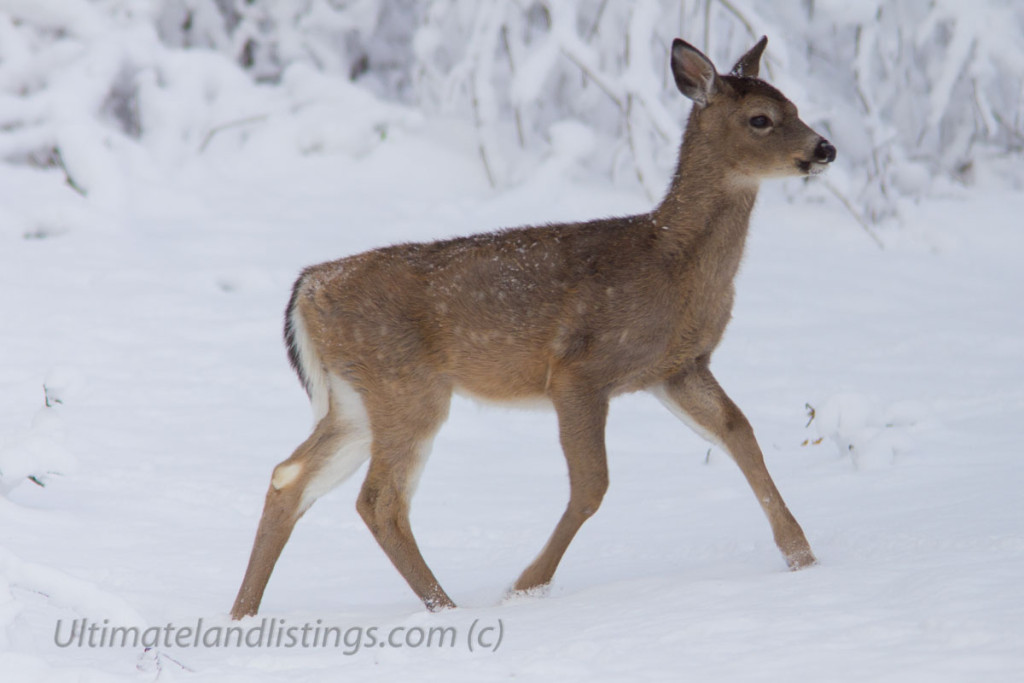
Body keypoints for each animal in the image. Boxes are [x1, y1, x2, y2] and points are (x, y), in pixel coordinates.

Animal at [230, 35, 835, 619]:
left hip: (354, 399)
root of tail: (309, 286)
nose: (824, 148)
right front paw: (525, 588)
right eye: (761, 119)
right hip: (405, 386)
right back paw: (447, 610)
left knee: (288, 476)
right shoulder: (579, 369)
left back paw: (243, 614)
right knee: (379, 500)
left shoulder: (678, 367)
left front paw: (802, 557)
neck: (671, 262)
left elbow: (740, 434)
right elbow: (592, 487)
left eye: (795, 106)